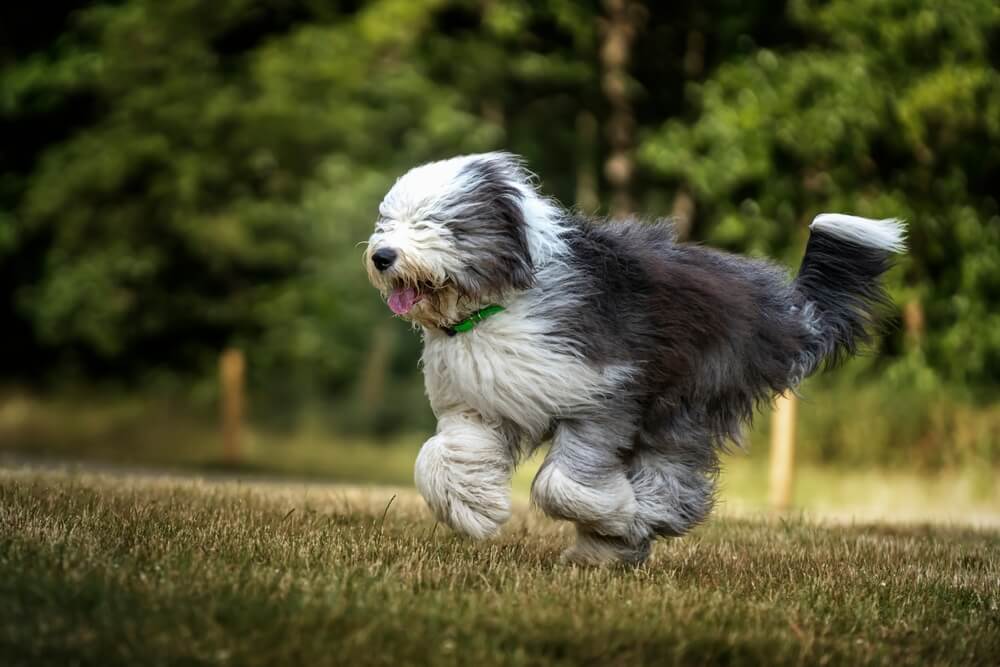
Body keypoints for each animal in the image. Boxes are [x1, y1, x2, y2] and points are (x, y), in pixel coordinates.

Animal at [364, 151, 904, 564]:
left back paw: (636, 523)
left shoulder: (604, 393)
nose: (382, 256)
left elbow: (562, 484)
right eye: (387, 221)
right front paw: (474, 509)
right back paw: (608, 549)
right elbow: (440, 458)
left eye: (435, 222)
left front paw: (619, 514)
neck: (497, 304)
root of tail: (783, 307)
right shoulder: (481, 403)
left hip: (687, 397)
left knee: (674, 473)